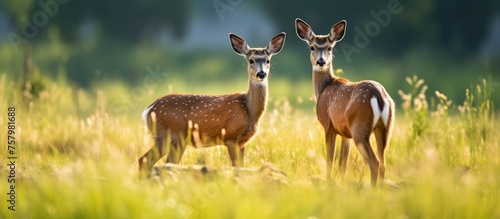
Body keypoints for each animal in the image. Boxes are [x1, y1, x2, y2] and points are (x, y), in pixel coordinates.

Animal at [138, 32, 286, 173]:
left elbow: (242, 166)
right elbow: (236, 167)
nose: (261, 74)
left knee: (162, 162)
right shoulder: (231, 137)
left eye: (268, 60)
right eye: (251, 60)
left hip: (175, 140)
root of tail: (148, 110)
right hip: (169, 135)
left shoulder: (243, 142)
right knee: (144, 160)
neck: (249, 110)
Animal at [292, 18, 394, 186]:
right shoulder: (346, 133)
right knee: (383, 162)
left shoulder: (328, 125)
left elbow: (330, 160)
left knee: (375, 162)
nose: (321, 61)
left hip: (360, 127)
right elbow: (342, 164)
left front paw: (328, 182)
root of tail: (379, 97)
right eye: (312, 47)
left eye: (329, 47)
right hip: (384, 127)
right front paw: (342, 184)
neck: (323, 89)